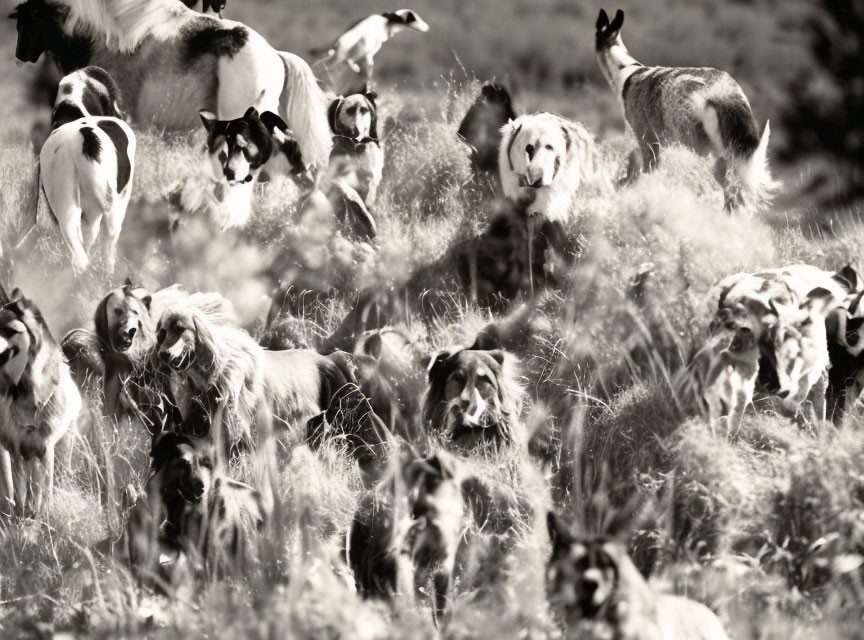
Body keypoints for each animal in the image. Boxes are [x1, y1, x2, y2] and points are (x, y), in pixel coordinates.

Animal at [0, 288, 81, 512]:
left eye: (10, 331)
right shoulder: (17, 446)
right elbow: (20, 489)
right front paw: (21, 513)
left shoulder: (44, 446)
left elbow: (42, 490)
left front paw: (42, 513)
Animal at [154, 302, 352, 456]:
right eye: (163, 332)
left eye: (180, 329)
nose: (163, 354)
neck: (215, 368)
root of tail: (331, 359)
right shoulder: (199, 419)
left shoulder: (232, 424)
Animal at [596, 8, 780, 212]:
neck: (626, 70)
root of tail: (723, 94)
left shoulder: (645, 138)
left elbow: (644, 173)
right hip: (729, 151)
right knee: (735, 190)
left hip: (698, 147)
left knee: (723, 185)